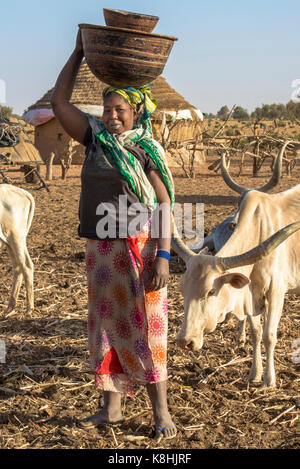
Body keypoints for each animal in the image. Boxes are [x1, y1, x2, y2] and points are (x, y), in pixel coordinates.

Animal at [0, 183, 34, 314]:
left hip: (15, 237)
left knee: (26, 266)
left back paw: (29, 309)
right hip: (10, 241)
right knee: (18, 267)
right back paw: (10, 307)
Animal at [172, 184, 300, 388]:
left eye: (211, 291)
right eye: (182, 289)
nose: (186, 341)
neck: (259, 229)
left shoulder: (276, 293)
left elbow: (269, 336)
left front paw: (269, 380)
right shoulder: (251, 297)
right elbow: (256, 333)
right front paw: (255, 374)